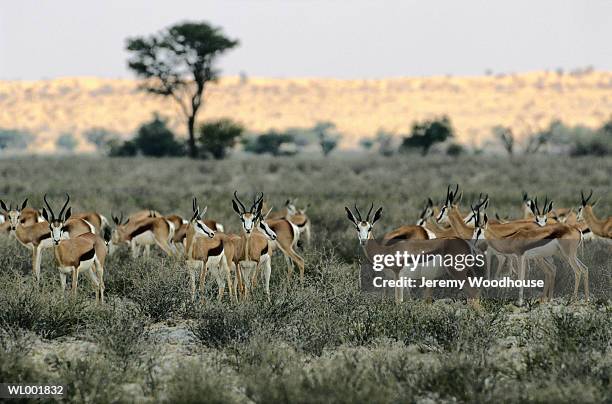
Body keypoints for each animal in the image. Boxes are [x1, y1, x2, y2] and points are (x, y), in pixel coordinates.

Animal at [344, 202, 478, 304]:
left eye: (370, 228)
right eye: (357, 228)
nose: (363, 241)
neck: (386, 251)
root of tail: (466, 244)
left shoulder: (398, 277)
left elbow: (399, 301)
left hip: (457, 273)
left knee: (472, 292)